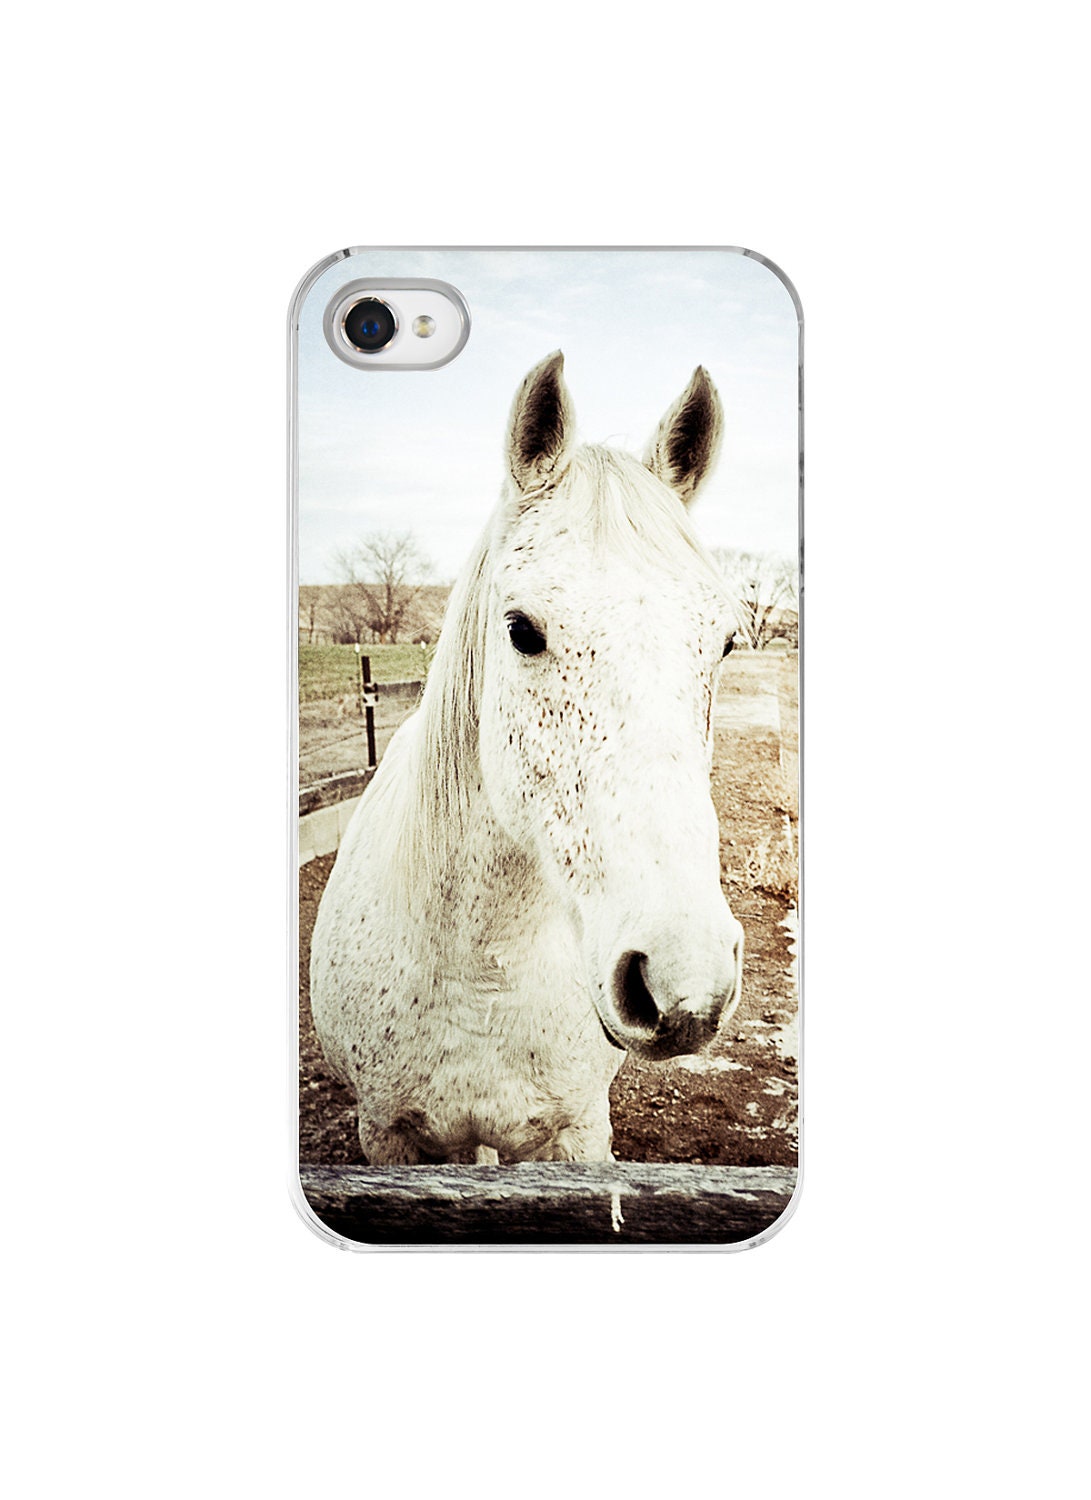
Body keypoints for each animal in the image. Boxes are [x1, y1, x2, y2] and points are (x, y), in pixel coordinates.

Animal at [309, 352, 744, 1165]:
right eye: (521, 630)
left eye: (726, 642)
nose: (686, 981)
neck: (481, 980)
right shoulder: (385, 1135)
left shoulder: (578, 1133)